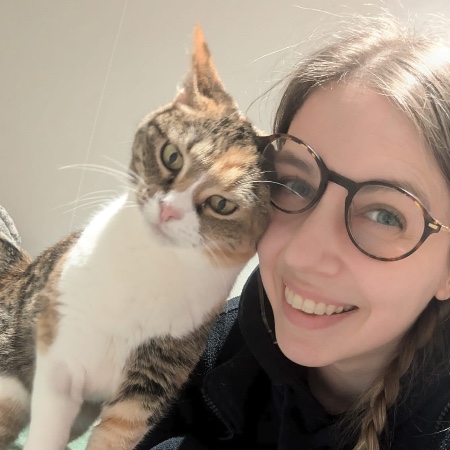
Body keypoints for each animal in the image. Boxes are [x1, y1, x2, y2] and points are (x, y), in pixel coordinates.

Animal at [0, 26, 271, 450]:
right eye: (172, 155)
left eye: (221, 204)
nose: (168, 210)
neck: (150, 264)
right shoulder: (59, 351)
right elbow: (46, 430)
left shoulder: (149, 382)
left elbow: (117, 431)